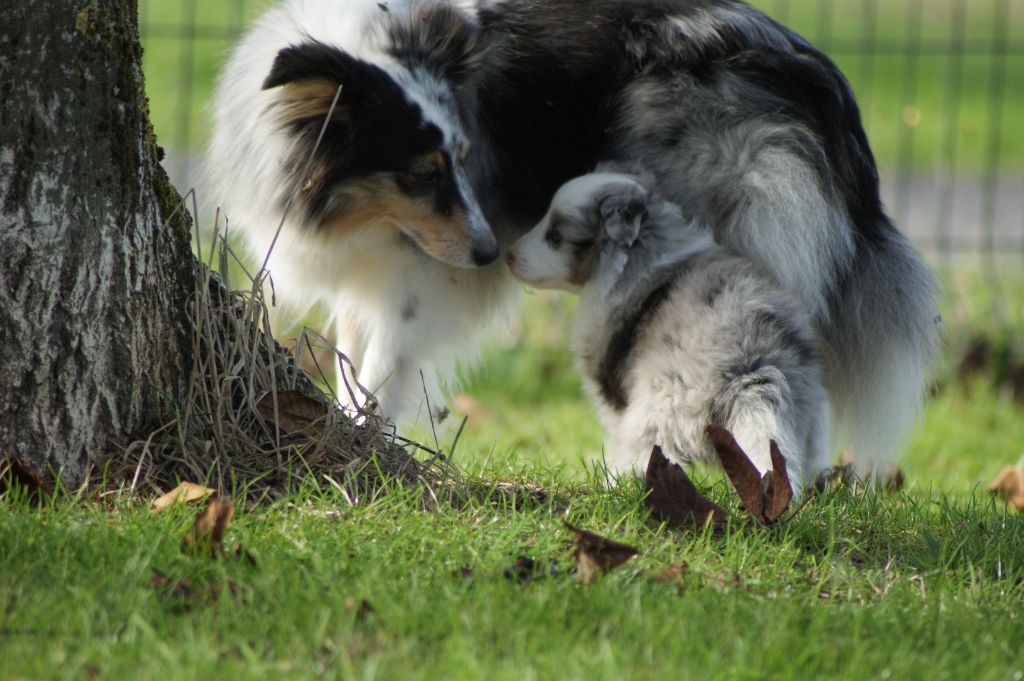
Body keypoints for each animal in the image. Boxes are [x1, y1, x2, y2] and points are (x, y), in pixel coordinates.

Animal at [505, 168, 831, 489]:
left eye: (555, 236)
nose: (508, 255)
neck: (641, 251)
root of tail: (753, 363)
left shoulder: (609, 388)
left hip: (657, 410)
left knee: (642, 456)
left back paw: (616, 485)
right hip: (809, 416)